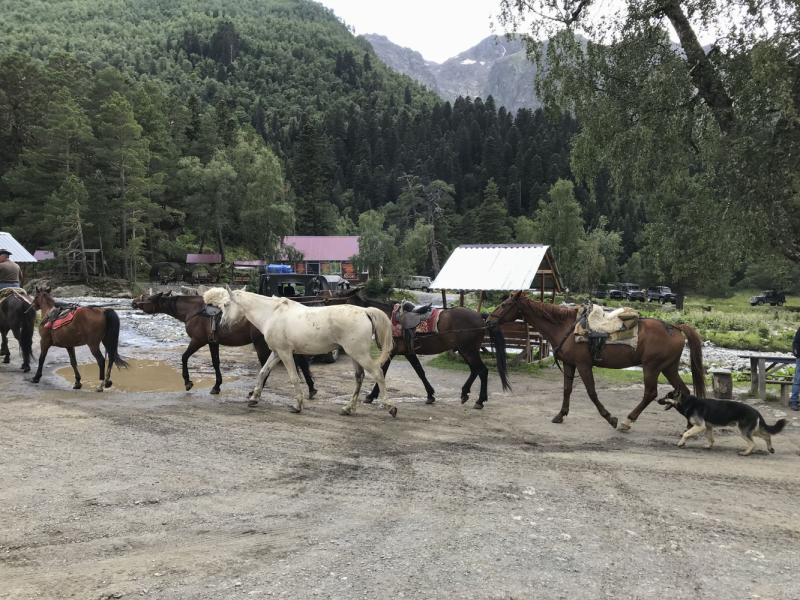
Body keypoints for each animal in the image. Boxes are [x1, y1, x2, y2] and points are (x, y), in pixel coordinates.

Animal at [131, 292, 316, 396]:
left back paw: (255, 392)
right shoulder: (213, 342)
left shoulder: (198, 341)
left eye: (146, 297)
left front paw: (188, 382)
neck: (193, 310)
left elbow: (184, 357)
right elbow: (215, 362)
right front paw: (217, 386)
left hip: (262, 346)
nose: (133, 301)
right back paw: (311, 389)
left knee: (266, 368)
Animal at [203, 288, 396, 418]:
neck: (271, 314)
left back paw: (390, 406)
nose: (222, 325)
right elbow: (263, 372)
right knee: (359, 378)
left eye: (226, 304)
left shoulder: (285, 353)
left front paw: (298, 405)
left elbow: (294, 377)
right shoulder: (276, 353)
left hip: (359, 354)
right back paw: (347, 409)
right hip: (355, 355)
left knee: (378, 373)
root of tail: (365, 311)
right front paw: (254, 398)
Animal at [340, 294, 510, 410]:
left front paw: (371, 395)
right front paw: (430, 395)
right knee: (475, 370)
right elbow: (420, 372)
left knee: (482, 370)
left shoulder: (391, 352)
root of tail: (479, 315)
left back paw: (480, 400)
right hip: (465, 350)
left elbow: (382, 372)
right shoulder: (409, 353)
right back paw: (464, 393)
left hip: (468, 350)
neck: (386, 318)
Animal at [488, 292, 708, 428]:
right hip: (668, 367)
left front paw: (610, 418)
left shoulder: (584, 365)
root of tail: (675, 327)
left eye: (505, 304)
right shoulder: (569, 364)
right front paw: (560, 415)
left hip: (652, 367)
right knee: (684, 391)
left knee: (650, 393)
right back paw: (688, 425)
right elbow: (567, 389)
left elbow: (592, 393)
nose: (489, 320)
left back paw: (627, 421)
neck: (565, 327)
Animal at [656, 390, 788, 454]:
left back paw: (745, 453)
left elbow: (686, 433)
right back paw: (770, 449)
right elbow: (710, 438)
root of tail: (756, 411)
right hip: (751, 431)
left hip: (742, 431)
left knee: (753, 443)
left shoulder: (700, 426)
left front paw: (681, 443)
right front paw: (709, 446)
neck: (686, 402)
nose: (657, 400)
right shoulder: (708, 427)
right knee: (767, 436)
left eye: (667, 397)